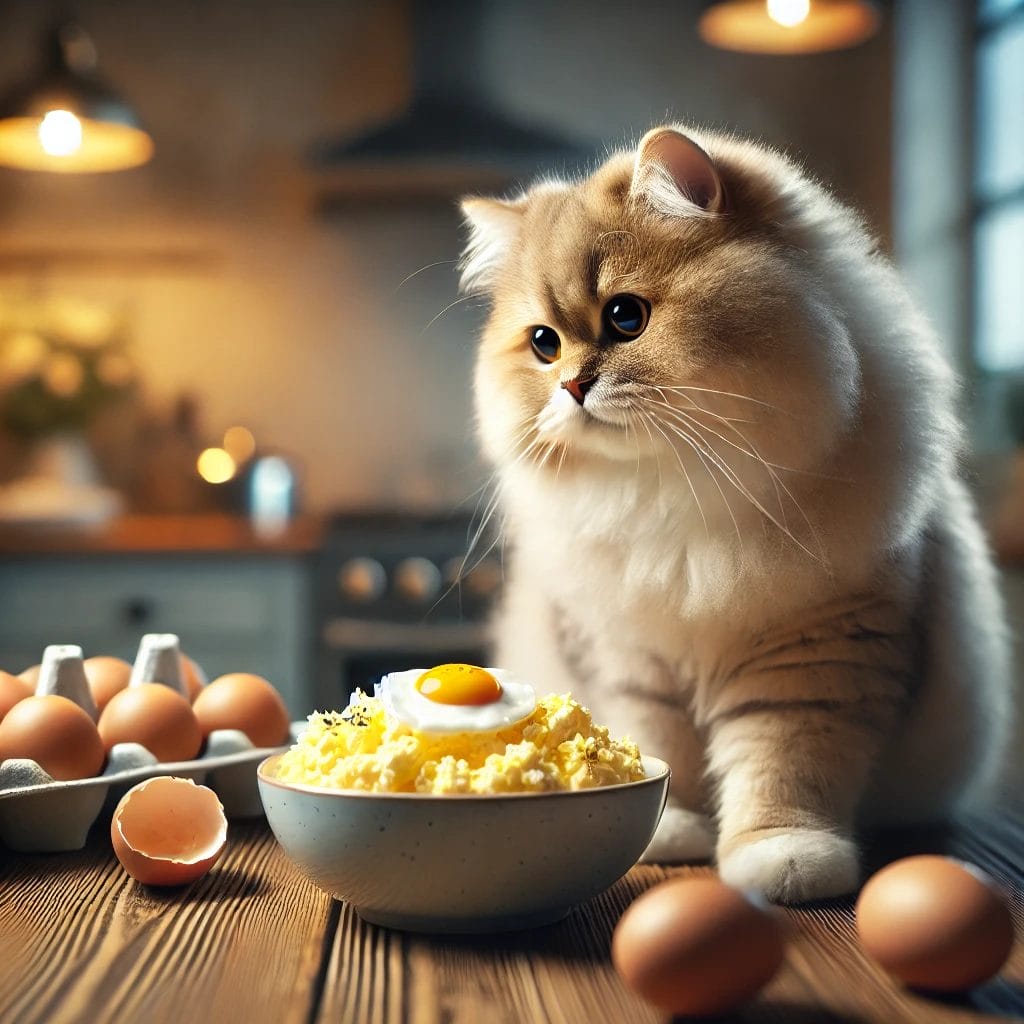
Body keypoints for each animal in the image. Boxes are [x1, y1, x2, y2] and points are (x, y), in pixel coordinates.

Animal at [460, 128, 1011, 905]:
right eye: (544, 343)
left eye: (626, 317)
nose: (570, 386)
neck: (672, 496)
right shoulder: (631, 662)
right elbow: (663, 756)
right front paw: (671, 831)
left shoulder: (810, 662)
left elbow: (782, 773)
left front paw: (783, 860)